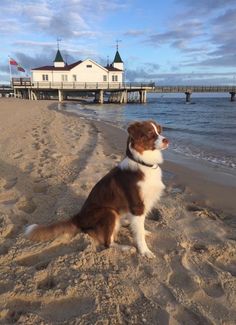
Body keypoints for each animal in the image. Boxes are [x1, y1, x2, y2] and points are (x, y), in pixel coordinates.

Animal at [25, 120, 168, 256]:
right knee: (108, 243)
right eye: (150, 133)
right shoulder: (137, 205)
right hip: (108, 212)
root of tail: (78, 217)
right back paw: (126, 248)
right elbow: (138, 235)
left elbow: (140, 228)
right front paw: (145, 251)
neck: (143, 162)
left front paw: (143, 231)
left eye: (159, 130)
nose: (167, 140)